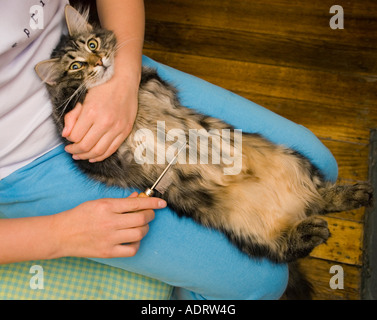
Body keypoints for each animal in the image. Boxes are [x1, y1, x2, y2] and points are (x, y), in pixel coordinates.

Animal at [36, 5, 374, 298]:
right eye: (75, 65)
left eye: (93, 44)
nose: (98, 62)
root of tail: (298, 206)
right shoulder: (98, 157)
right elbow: (66, 101)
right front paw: (73, 88)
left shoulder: (156, 86)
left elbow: (141, 77)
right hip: (251, 236)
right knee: (290, 245)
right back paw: (314, 229)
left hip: (295, 162)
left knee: (323, 197)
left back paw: (355, 194)